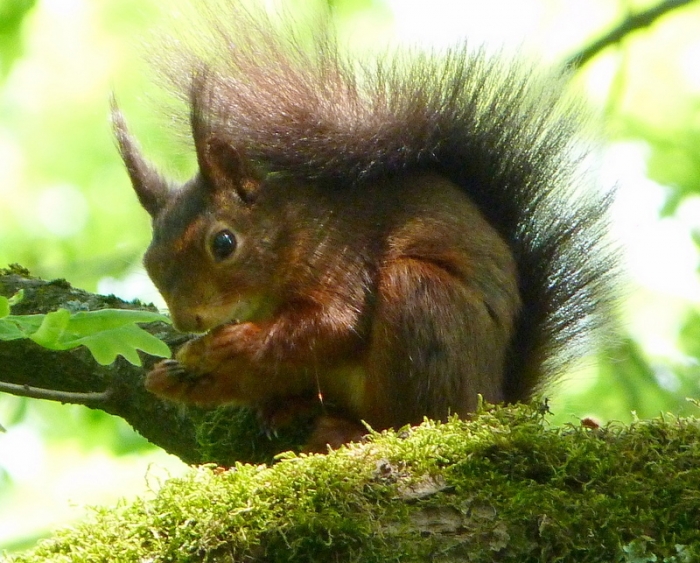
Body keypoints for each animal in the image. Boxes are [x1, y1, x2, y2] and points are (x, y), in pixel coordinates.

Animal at [112, 5, 615, 452]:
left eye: (224, 242)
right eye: (150, 262)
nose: (187, 320)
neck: (289, 233)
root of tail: (492, 399)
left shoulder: (342, 255)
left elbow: (337, 322)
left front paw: (231, 345)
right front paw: (186, 373)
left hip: (423, 304)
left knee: (406, 417)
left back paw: (349, 429)